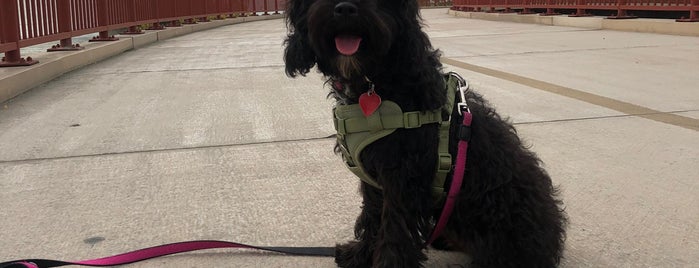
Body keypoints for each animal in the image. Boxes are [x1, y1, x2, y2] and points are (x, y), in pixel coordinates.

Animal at [282, 1, 568, 266]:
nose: (344, 9)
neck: (375, 83)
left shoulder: (404, 177)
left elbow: (394, 228)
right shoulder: (375, 179)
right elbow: (373, 218)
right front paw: (360, 255)